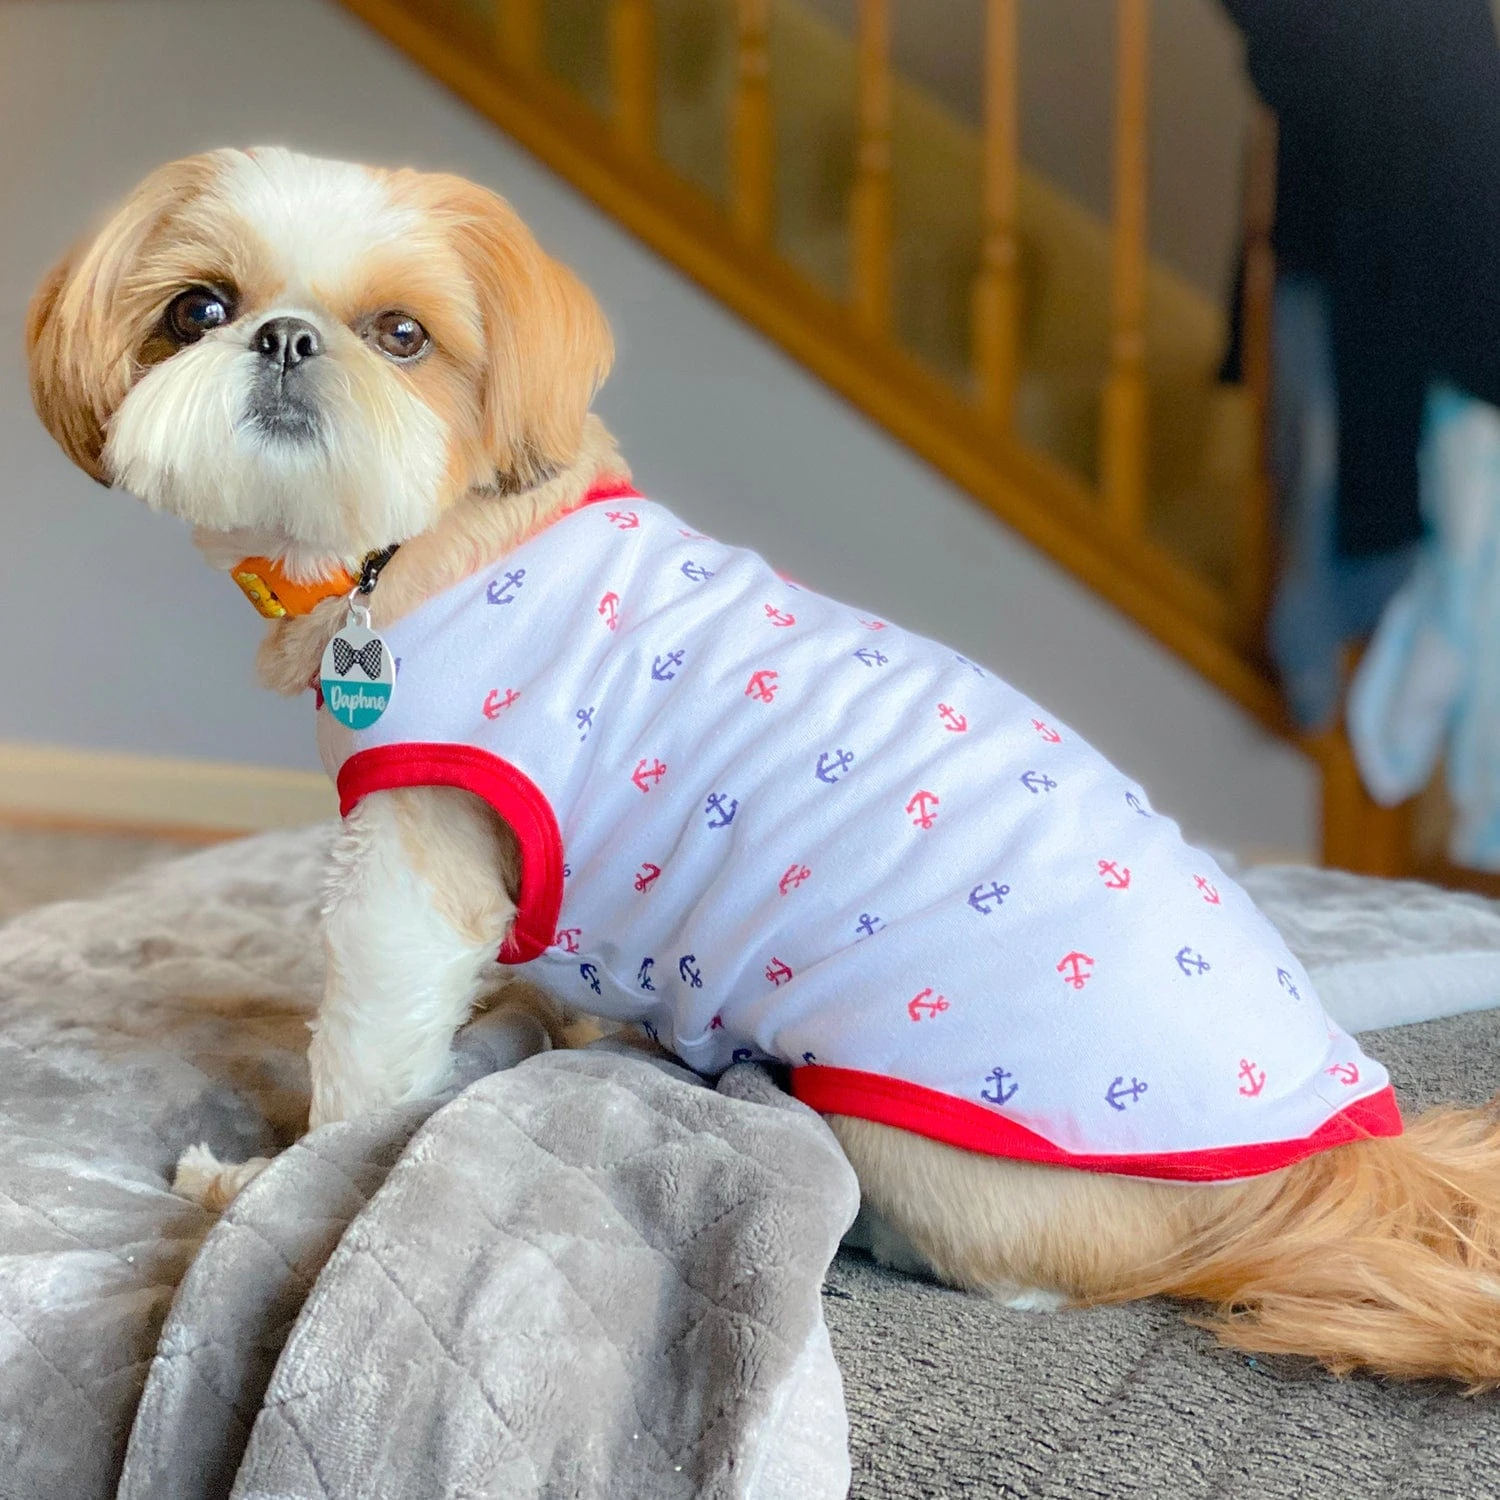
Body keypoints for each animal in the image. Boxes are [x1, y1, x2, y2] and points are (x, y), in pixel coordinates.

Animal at [27, 147, 1500, 1385]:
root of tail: (1329, 1163)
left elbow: (360, 1063)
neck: (421, 545)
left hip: (917, 1123)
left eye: (403, 334)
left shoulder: (411, 866)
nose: (282, 336)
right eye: (196, 309)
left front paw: (260, 1190)